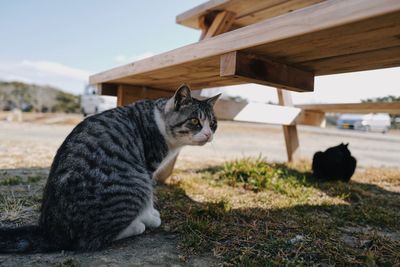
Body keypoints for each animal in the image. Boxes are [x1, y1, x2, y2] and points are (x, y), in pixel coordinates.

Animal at [0, 84, 220, 253]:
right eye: (195, 121)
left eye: (213, 123)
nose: (209, 134)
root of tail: (50, 231)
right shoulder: (148, 168)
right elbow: (149, 197)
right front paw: (150, 216)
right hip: (134, 181)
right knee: (91, 240)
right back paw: (136, 225)